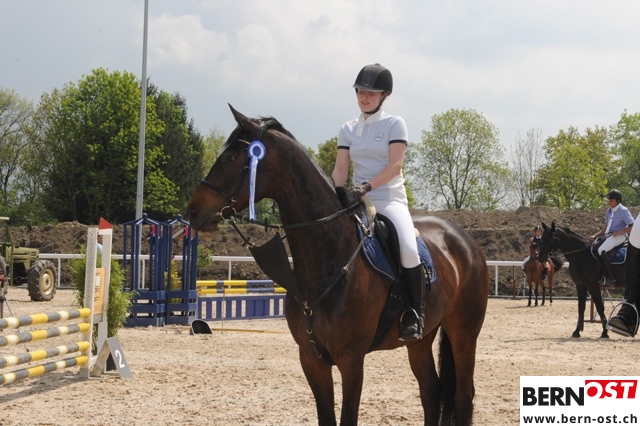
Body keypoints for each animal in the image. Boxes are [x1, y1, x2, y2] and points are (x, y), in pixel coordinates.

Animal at [187, 106, 489, 426]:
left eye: (231, 157)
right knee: (431, 390)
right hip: (421, 339)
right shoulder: (312, 359)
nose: (193, 211)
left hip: (464, 333)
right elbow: (326, 416)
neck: (327, 259)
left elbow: (347, 417)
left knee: (463, 395)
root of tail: (464, 240)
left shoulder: (351, 360)